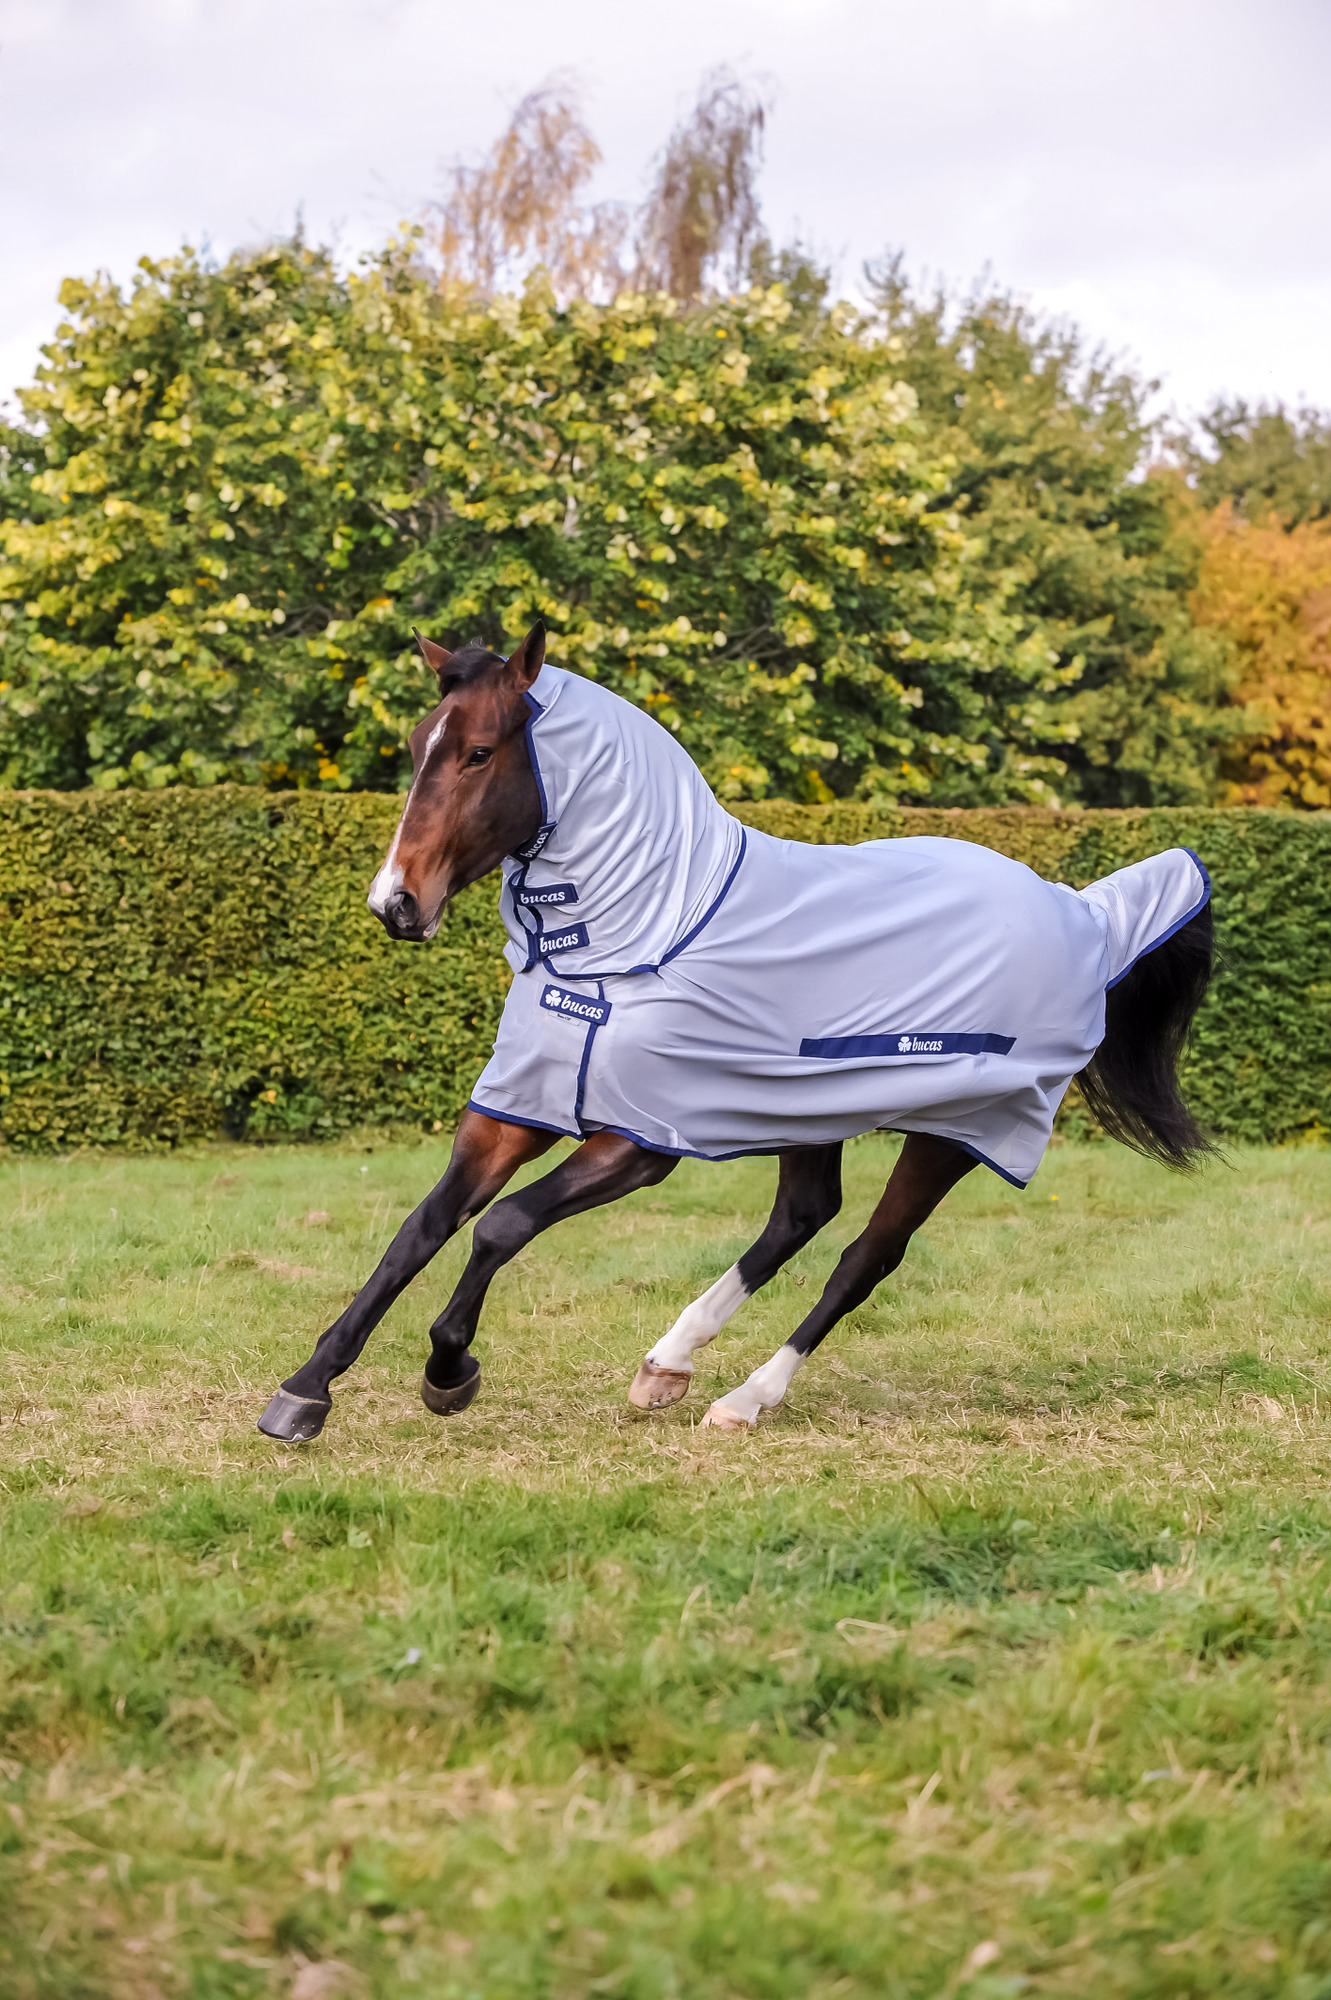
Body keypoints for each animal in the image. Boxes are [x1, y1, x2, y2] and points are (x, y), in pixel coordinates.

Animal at [257, 622, 1215, 1445]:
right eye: (418, 744)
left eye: (479, 752)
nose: (395, 903)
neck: (639, 939)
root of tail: (1082, 912)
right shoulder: (511, 1111)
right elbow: (418, 1232)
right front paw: (304, 1392)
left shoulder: (639, 1142)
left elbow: (501, 1227)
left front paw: (449, 1372)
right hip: (807, 1107)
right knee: (802, 1216)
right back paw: (666, 1365)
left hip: (954, 1131)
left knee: (865, 1256)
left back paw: (745, 1400)